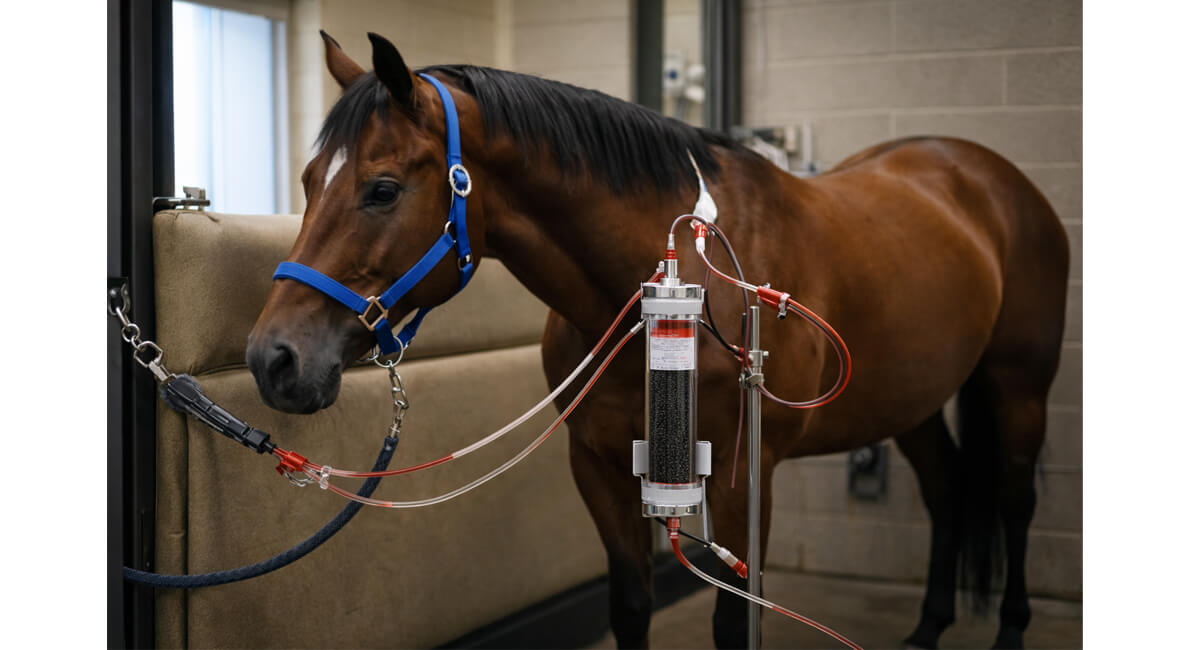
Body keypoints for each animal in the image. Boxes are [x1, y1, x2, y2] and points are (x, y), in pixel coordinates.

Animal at [247, 32, 1069, 650]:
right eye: (309, 180)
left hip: (1018, 385)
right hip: (911, 396)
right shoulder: (599, 465)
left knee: (1015, 498)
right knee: (948, 488)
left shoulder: (741, 476)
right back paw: (928, 628)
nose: (272, 358)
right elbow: (632, 607)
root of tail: (983, 172)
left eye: (382, 189)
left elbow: (734, 621)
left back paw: (1009, 631)